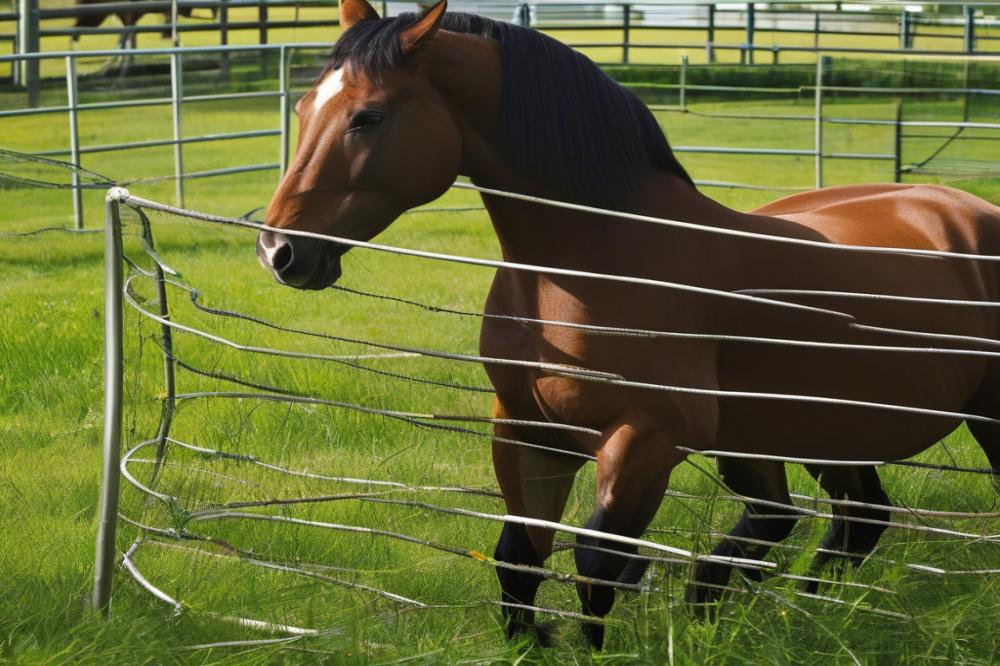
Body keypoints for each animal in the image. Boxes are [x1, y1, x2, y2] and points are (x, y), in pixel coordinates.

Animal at [256, 0, 1000, 644]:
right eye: (302, 106)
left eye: (368, 117)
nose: (280, 251)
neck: (590, 263)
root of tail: (968, 211)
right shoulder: (527, 430)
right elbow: (519, 554)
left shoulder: (646, 438)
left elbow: (598, 563)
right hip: (807, 435)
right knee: (841, 519)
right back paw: (798, 615)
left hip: (967, 420)